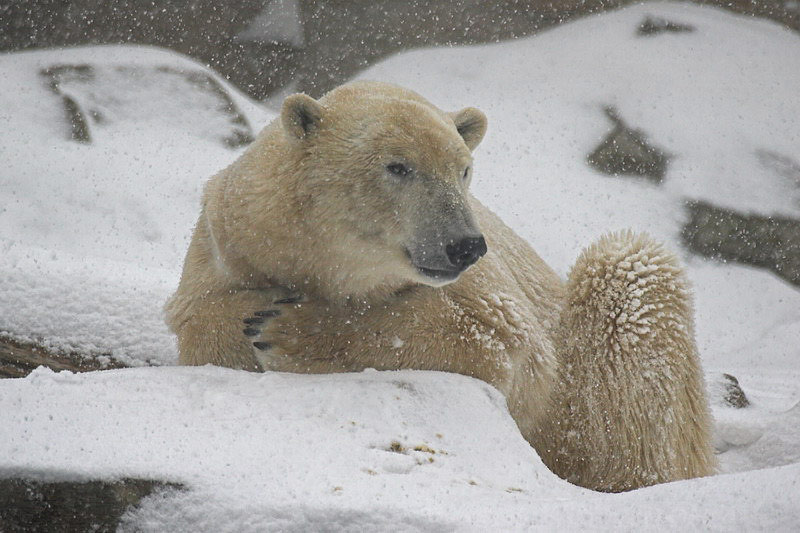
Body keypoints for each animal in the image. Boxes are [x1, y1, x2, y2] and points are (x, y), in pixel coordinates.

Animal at [164, 80, 720, 490]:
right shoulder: (229, 239)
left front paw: (285, 330)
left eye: (464, 169)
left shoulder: (486, 290)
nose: (464, 245)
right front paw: (257, 318)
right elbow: (198, 320)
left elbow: (509, 345)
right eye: (397, 166)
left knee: (628, 274)